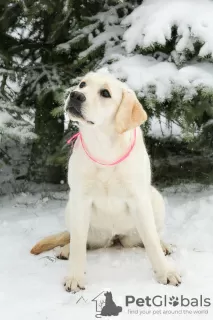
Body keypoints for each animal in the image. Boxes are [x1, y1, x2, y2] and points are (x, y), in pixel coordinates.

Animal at [31, 72, 181, 292]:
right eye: (82, 84)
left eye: (105, 93)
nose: (75, 95)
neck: (104, 148)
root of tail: (114, 237)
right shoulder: (81, 199)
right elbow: (78, 244)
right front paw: (75, 277)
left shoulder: (138, 199)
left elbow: (151, 240)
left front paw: (166, 273)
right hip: (73, 209)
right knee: (76, 239)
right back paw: (66, 249)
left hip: (154, 201)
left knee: (149, 236)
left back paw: (164, 245)